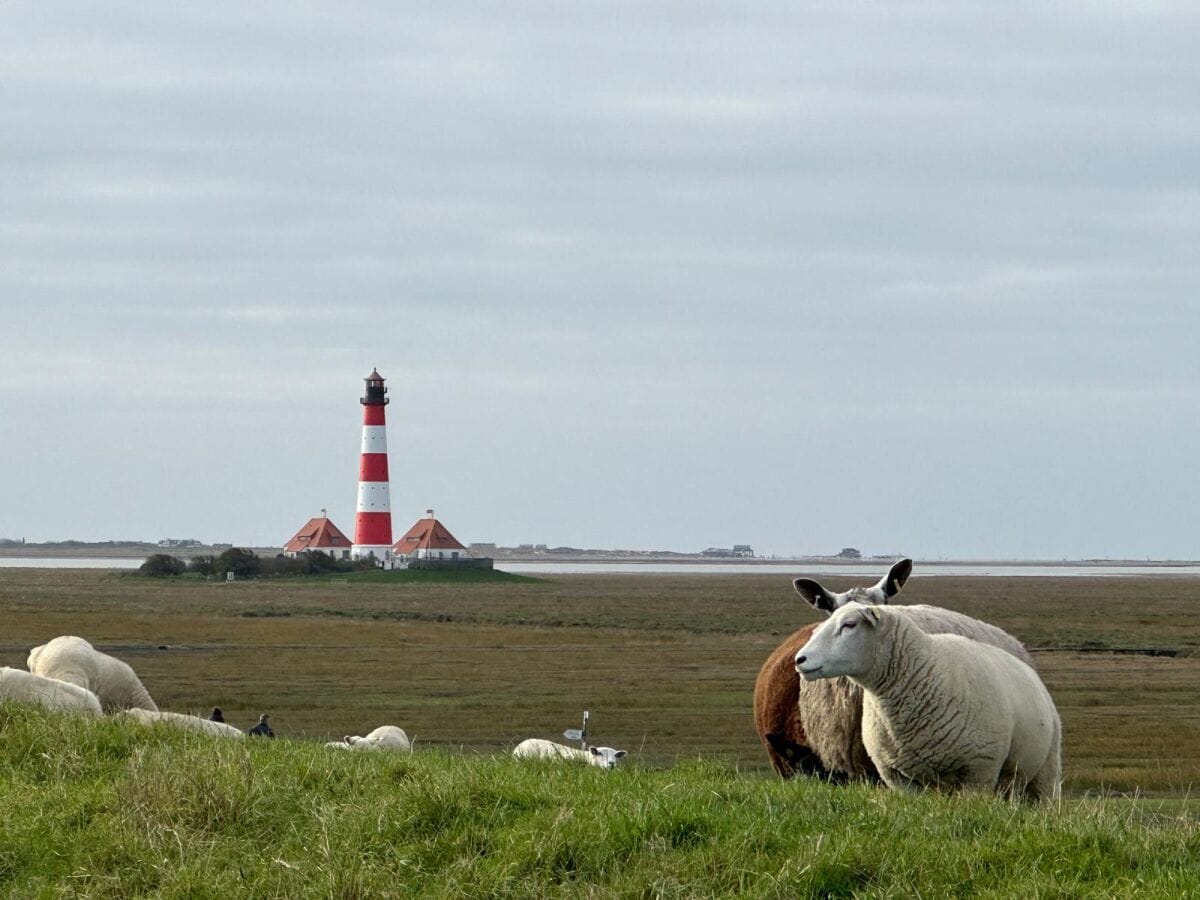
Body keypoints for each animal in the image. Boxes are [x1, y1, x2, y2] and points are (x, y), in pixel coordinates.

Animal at [796, 607, 1060, 801]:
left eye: (849, 625)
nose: (800, 659)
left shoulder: (979, 771)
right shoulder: (897, 776)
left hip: (1045, 774)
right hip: (1011, 780)